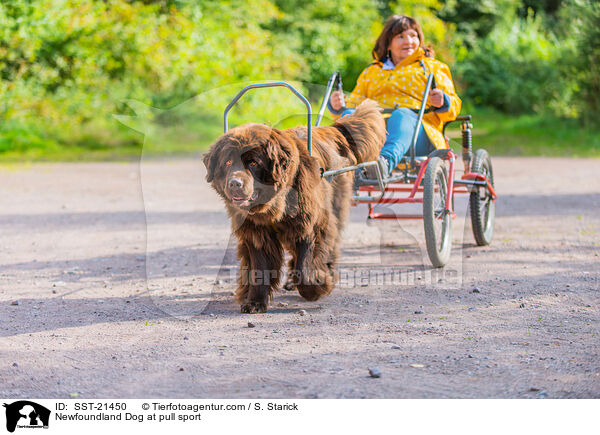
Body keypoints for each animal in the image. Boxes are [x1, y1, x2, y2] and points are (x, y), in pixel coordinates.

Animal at [204, 102, 386, 314]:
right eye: (228, 162)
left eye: (254, 163)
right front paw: (255, 302)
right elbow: (259, 268)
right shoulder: (257, 234)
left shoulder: (309, 226)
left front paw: (317, 287)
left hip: (334, 206)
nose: (235, 183)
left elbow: (305, 266)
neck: (275, 206)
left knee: (330, 242)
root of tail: (328, 130)